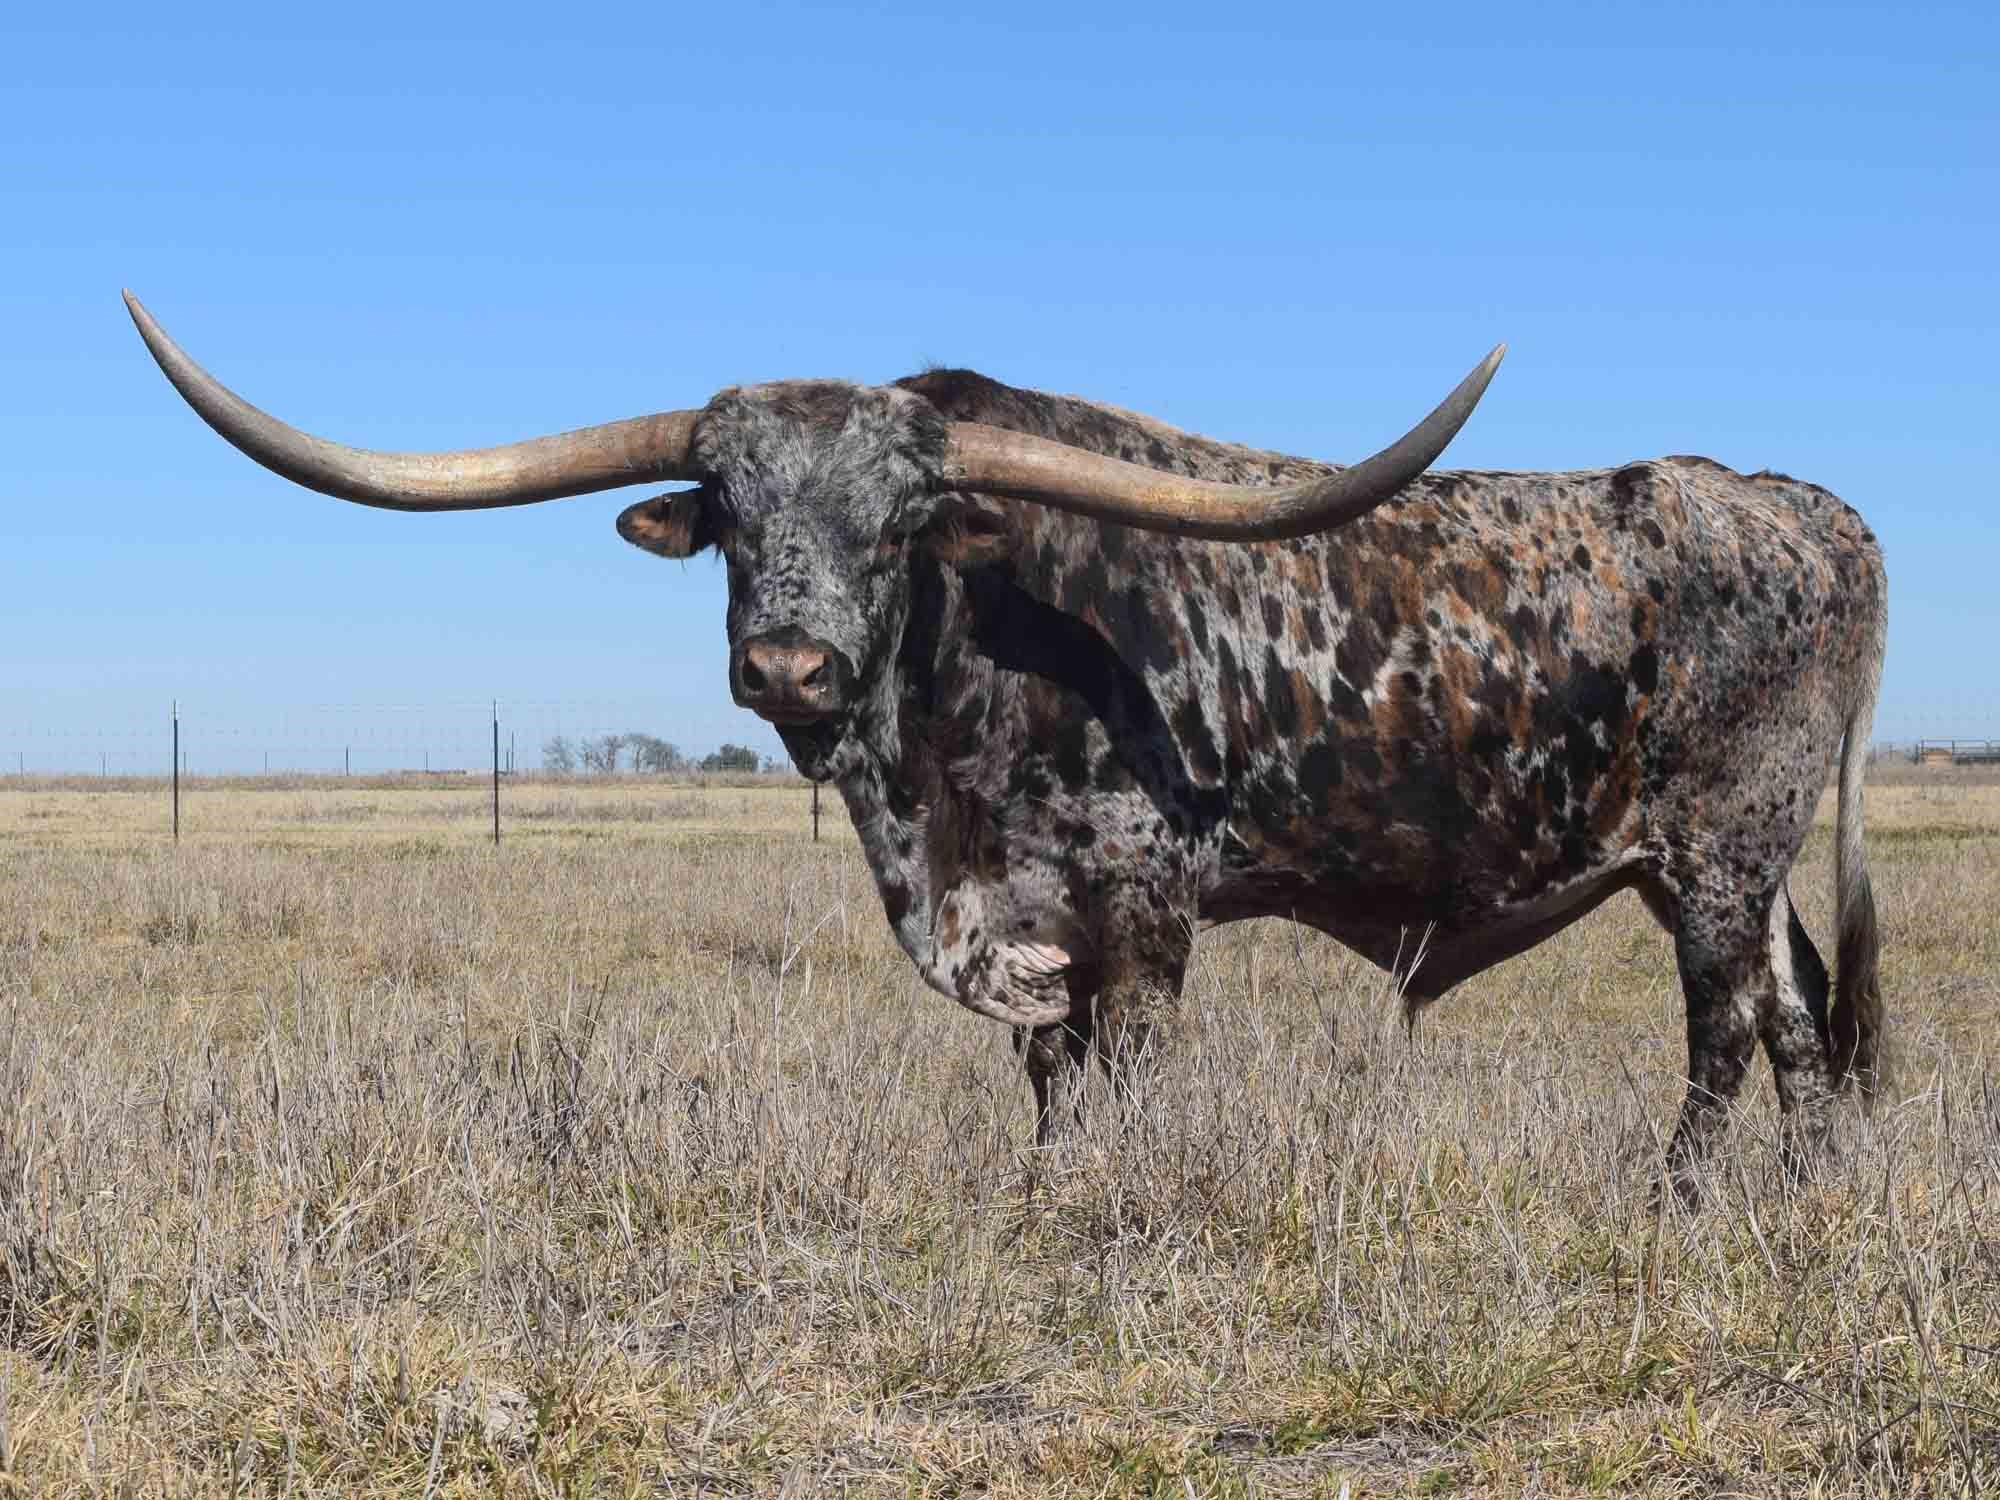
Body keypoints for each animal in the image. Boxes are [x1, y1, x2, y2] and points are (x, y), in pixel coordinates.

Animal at [125, 291, 1887, 1195]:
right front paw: (1049, 1199)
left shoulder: (1147, 904)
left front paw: (1129, 1210)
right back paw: (1804, 1201)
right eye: (731, 514)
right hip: (1720, 868)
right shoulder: (1027, 920)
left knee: (1727, 1031)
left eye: (900, 518)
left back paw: (1680, 1200)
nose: (787, 660)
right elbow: (1050, 1078)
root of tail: (1802, 508)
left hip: (1720, 853)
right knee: (1801, 1021)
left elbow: (1135, 1072)